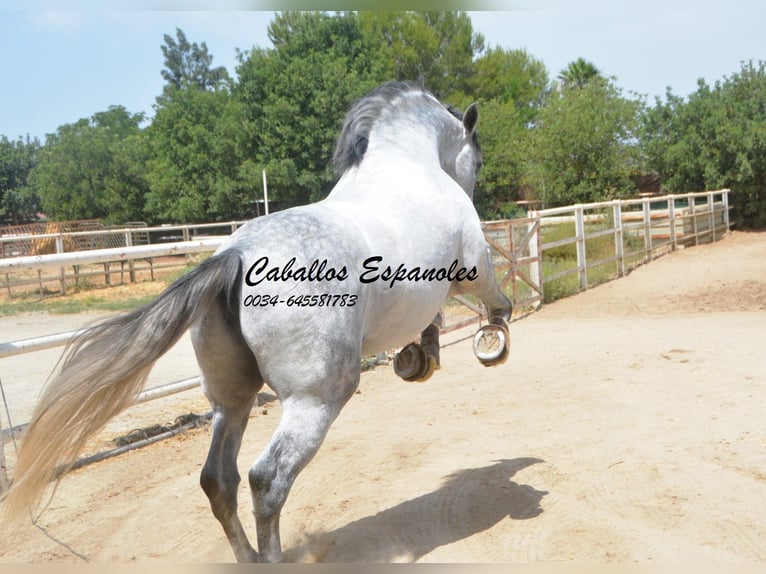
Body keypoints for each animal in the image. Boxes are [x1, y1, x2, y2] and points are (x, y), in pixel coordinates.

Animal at [3, 81, 512, 562]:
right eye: (478, 161)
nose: (474, 186)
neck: (404, 162)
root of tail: (234, 256)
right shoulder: (472, 268)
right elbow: (492, 300)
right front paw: (493, 337)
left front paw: (420, 357)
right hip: (315, 399)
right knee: (267, 479)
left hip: (231, 398)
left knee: (217, 478)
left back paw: (247, 555)